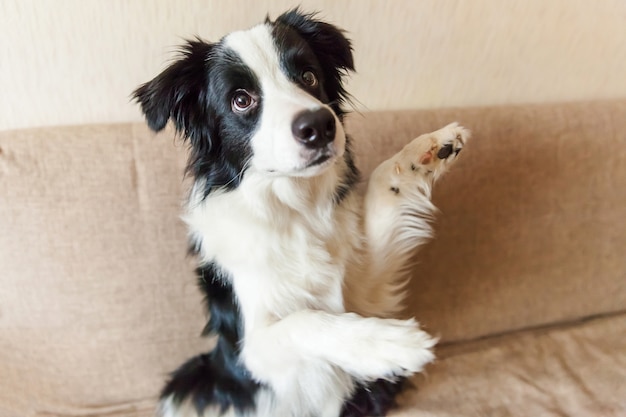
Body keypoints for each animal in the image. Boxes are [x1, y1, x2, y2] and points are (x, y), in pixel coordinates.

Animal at [133, 7, 468, 416]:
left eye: (308, 76)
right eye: (241, 100)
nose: (320, 126)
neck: (295, 209)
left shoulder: (366, 291)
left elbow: (383, 184)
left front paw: (427, 149)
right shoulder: (251, 351)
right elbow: (304, 321)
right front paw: (395, 343)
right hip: (192, 380)